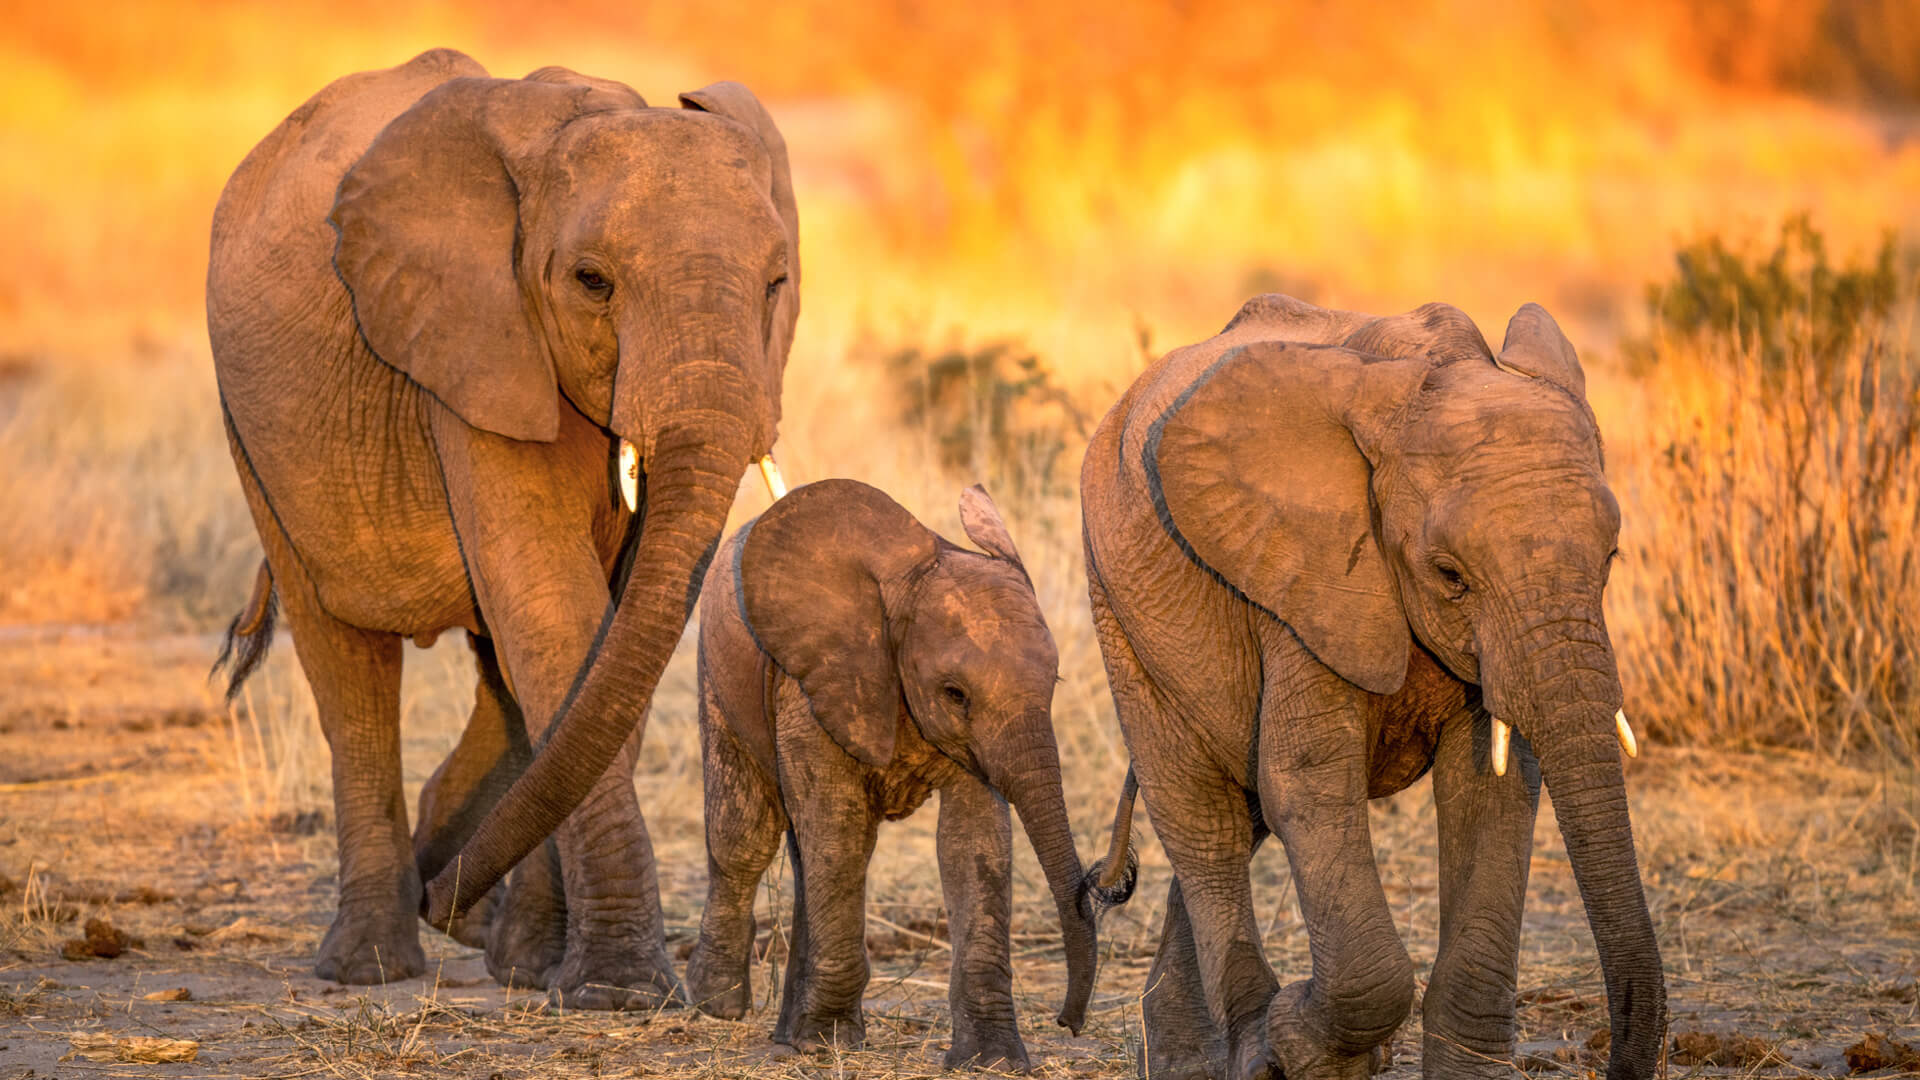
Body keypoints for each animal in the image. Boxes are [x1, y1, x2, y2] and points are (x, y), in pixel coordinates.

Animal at [205, 48, 799, 1006]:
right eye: (592, 282)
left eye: (777, 284)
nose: (443, 895)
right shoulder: (473, 339)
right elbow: (555, 608)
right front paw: (620, 994)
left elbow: (613, 626)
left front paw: (538, 967)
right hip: (253, 430)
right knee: (348, 666)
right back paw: (374, 960)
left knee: (502, 674)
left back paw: (468, 915)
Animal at [684, 479, 1135, 1069]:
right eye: (955, 693)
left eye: (1054, 681)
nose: (1068, 1022)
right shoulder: (814, 682)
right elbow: (840, 831)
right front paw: (830, 1041)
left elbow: (974, 845)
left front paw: (991, 1060)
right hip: (716, 674)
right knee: (745, 835)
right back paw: (718, 1004)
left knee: (803, 852)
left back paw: (789, 1033)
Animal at [1077, 294, 1665, 1079]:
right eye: (1450, 575)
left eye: (1610, 559)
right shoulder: (1302, 576)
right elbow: (1307, 779)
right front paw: (1297, 1040)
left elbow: (1491, 788)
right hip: (1119, 606)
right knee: (1202, 818)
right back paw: (1246, 1049)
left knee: (1239, 807)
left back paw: (1193, 1055)